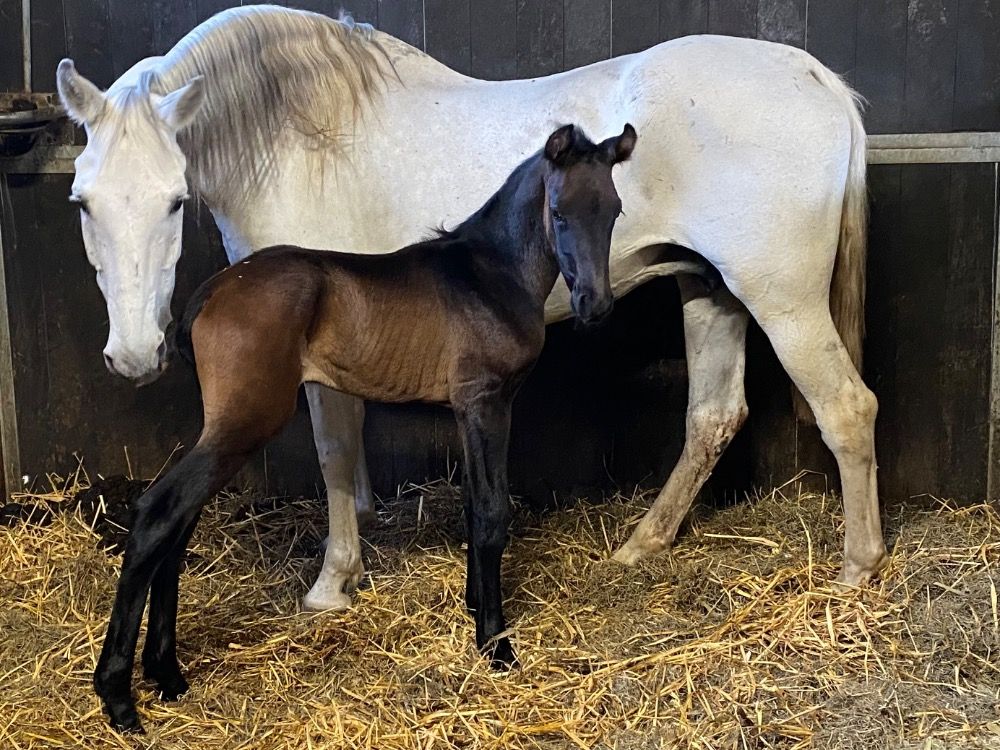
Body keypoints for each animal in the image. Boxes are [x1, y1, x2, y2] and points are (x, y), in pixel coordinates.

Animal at [55, 5, 888, 614]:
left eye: (174, 200)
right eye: (82, 201)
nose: (135, 354)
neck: (302, 138)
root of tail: (814, 76)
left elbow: (333, 449)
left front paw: (333, 581)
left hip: (781, 300)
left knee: (847, 409)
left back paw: (858, 566)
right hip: (709, 289)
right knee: (712, 418)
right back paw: (641, 544)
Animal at [91, 123, 638, 731]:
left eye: (613, 210)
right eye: (560, 212)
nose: (595, 305)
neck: (490, 273)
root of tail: (210, 292)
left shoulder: (471, 409)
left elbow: (474, 505)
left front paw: (474, 607)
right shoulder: (486, 402)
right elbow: (493, 513)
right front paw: (496, 645)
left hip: (226, 425)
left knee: (180, 522)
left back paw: (166, 674)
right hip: (248, 420)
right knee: (158, 513)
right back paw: (118, 694)